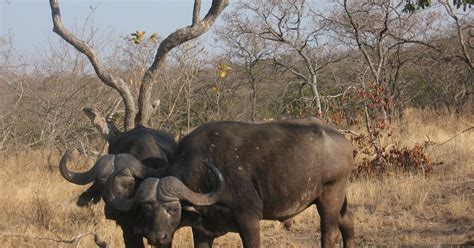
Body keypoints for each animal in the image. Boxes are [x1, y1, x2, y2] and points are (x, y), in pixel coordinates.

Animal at [105, 117, 354, 248]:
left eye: (174, 208)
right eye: (147, 208)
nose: (157, 237)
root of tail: (342, 140)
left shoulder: (249, 219)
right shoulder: (202, 231)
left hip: (330, 196)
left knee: (329, 232)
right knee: (347, 223)